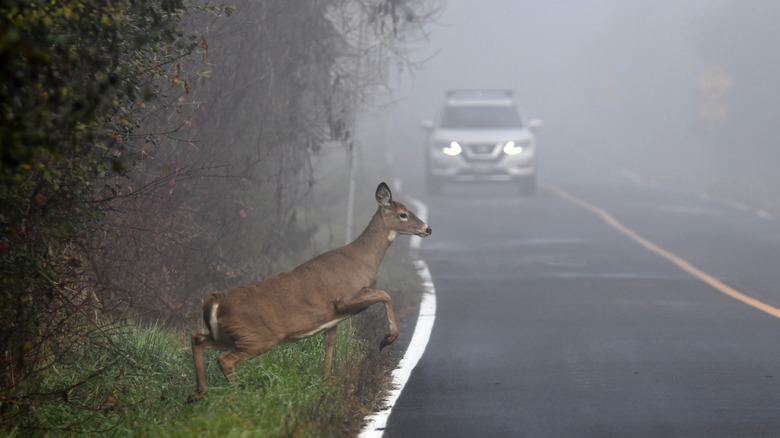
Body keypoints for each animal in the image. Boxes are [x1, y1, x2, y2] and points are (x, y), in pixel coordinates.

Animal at [189, 181, 432, 400]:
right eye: (403, 214)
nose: (427, 229)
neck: (364, 259)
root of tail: (215, 300)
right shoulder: (344, 298)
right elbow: (385, 294)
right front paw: (388, 338)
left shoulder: (333, 319)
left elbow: (330, 345)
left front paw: (327, 381)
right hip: (258, 336)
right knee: (224, 359)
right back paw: (236, 394)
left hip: (231, 335)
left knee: (198, 339)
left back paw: (199, 393)